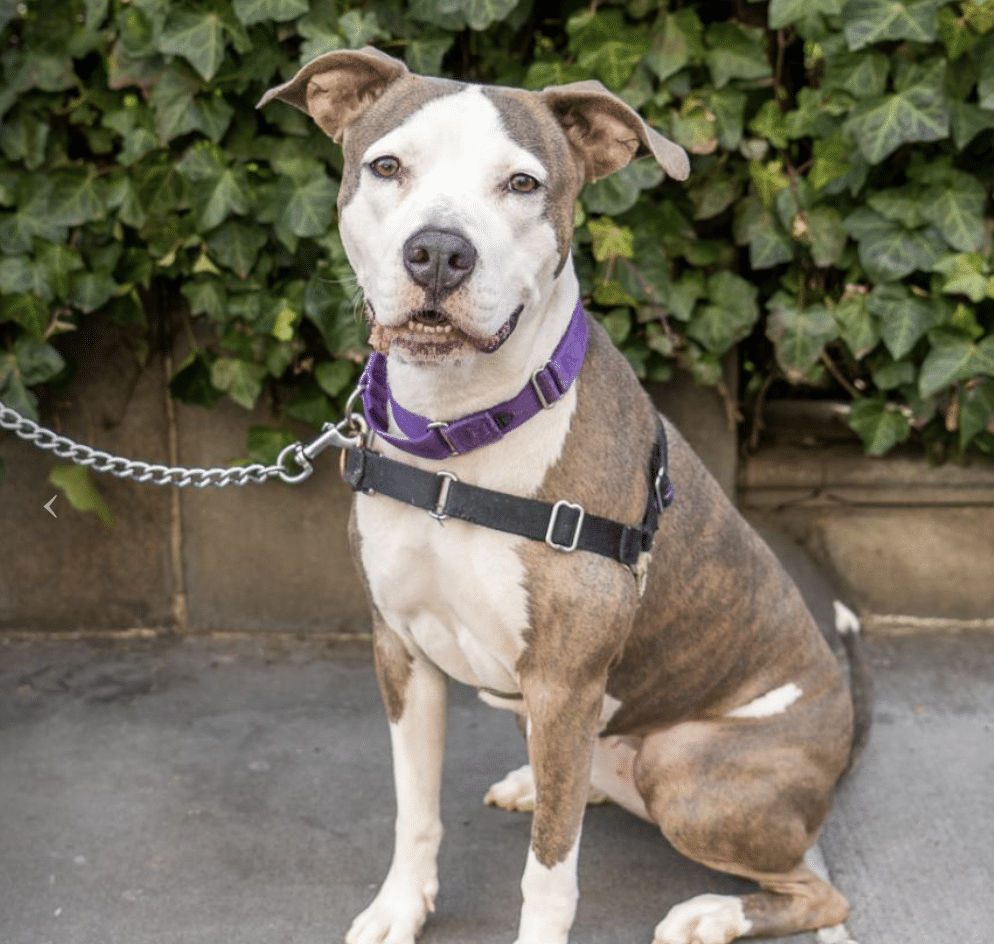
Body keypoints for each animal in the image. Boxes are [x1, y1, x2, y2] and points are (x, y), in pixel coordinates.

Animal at [258, 48, 868, 944]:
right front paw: (400, 907)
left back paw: (712, 913)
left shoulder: (563, 680)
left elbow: (548, 872)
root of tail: (844, 736)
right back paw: (538, 782)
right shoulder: (402, 653)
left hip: (686, 771)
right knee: (580, 784)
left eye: (521, 183)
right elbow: (415, 809)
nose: (438, 253)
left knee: (818, 891)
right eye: (388, 166)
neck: (460, 439)